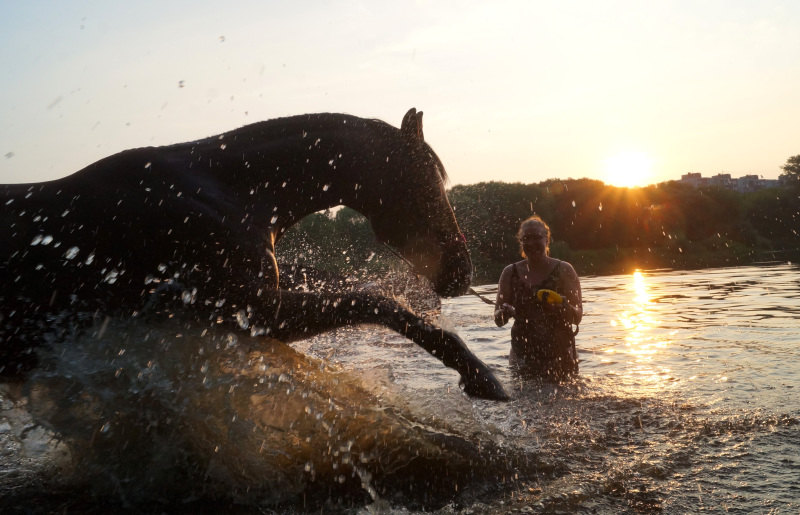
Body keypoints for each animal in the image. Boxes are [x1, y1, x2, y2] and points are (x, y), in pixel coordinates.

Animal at [1, 109, 506, 400]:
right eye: (430, 180)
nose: (462, 271)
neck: (228, 191)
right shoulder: (255, 311)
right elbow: (376, 302)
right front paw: (481, 378)